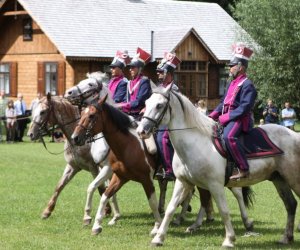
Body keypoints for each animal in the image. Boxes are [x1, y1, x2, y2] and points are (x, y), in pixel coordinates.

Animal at [137, 83, 300, 247]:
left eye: (159, 105)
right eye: (146, 103)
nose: (141, 131)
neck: (196, 142)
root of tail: (295, 135)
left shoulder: (215, 184)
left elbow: (223, 210)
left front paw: (229, 239)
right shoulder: (183, 182)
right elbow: (171, 208)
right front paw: (158, 238)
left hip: (293, 179)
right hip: (279, 179)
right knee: (291, 204)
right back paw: (286, 237)